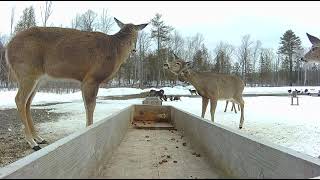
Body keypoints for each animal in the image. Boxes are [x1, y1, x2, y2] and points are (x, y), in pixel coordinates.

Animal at [5, 17, 149, 150]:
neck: (116, 49)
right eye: (137, 35)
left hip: (38, 79)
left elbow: (87, 105)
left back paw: (39, 138)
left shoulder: (84, 80)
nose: (134, 50)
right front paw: (89, 128)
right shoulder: (92, 78)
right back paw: (32, 142)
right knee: (19, 100)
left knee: (27, 103)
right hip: (27, 71)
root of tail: (7, 48)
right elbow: (90, 106)